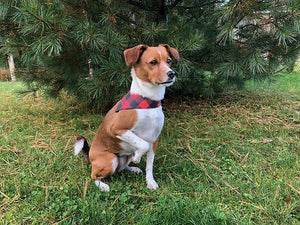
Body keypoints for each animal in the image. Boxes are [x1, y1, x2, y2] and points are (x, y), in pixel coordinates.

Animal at [74, 44, 180, 192]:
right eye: (153, 62)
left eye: (169, 61)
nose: (172, 74)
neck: (148, 102)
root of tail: (90, 157)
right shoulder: (117, 129)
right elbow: (142, 144)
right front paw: (138, 157)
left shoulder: (154, 139)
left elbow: (149, 165)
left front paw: (150, 181)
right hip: (110, 159)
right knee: (94, 175)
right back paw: (103, 185)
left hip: (124, 156)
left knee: (120, 168)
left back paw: (133, 168)